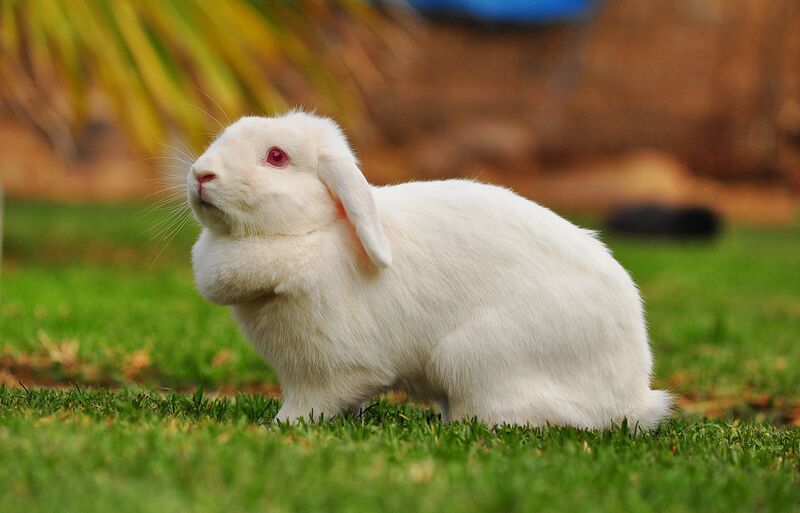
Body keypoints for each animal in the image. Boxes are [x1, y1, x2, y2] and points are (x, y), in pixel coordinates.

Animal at [187, 111, 671, 430]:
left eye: (276, 156)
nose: (201, 175)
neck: (310, 233)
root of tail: (632, 398)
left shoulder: (334, 369)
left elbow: (313, 403)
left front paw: (281, 425)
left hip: (470, 357)